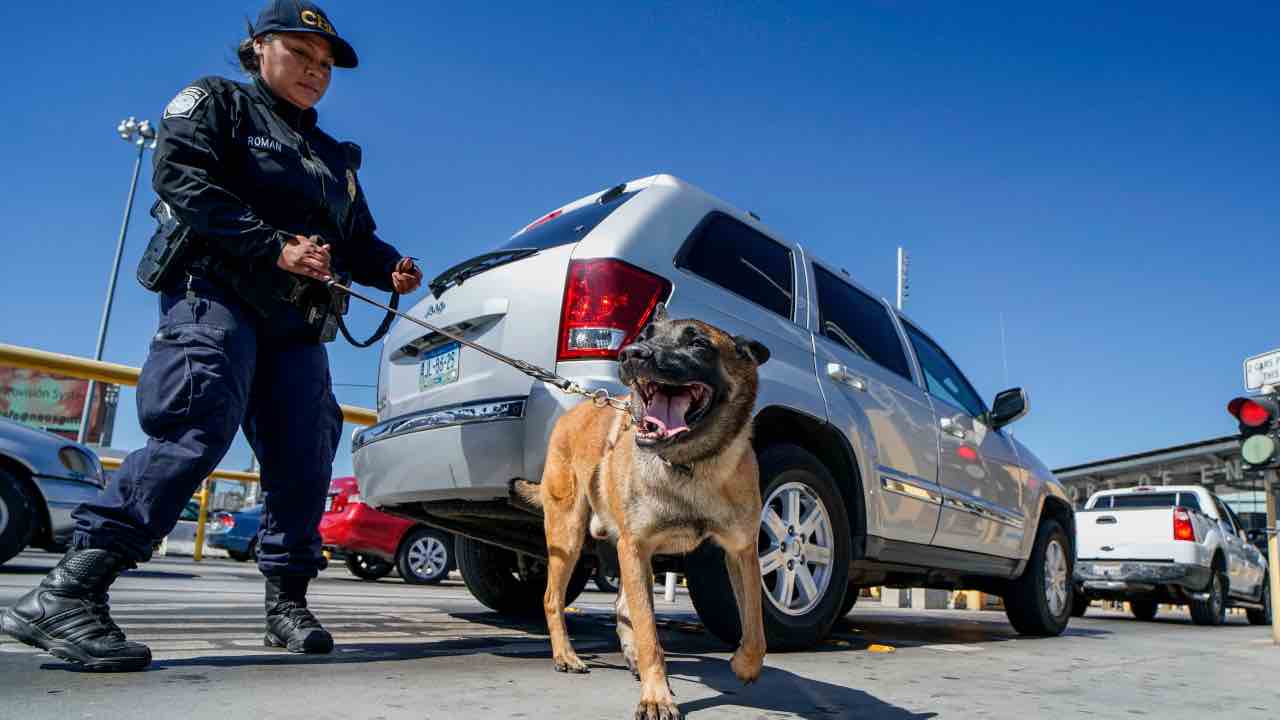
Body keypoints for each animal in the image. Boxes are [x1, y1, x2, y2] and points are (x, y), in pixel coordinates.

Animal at [514, 304, 762, 717]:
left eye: (698, 344)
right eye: (645, 335)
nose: (631, 354)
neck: (690, 465)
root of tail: (579, 408)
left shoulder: (742, 551)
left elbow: (756, 625)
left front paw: (745, 664)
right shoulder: (636, 547)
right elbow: (649, 633)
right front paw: (656, 696)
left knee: (621, 606)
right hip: (568, 535)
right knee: (553, 598)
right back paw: (566, 655)